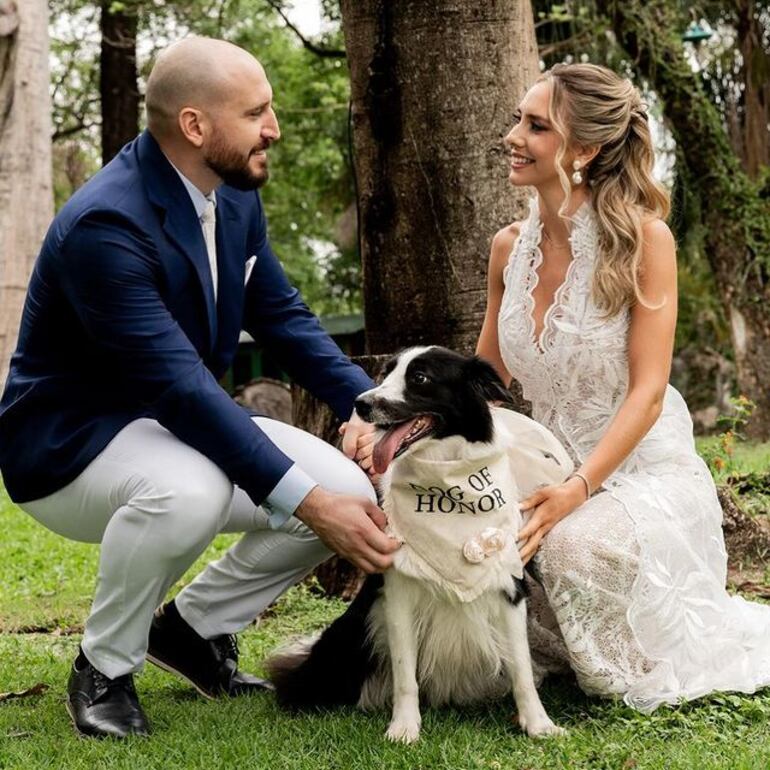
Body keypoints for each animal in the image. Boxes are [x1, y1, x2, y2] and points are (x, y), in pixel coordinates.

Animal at [268, 346, 568, 736]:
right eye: (385, 373)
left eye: (420, 378)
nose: (361, 404)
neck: (448, 483)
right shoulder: (396, 593)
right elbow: (405, 674)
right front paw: (404, 728)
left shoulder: (510, 587)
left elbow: (522, 668)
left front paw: (538, 724)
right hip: (350, 636)